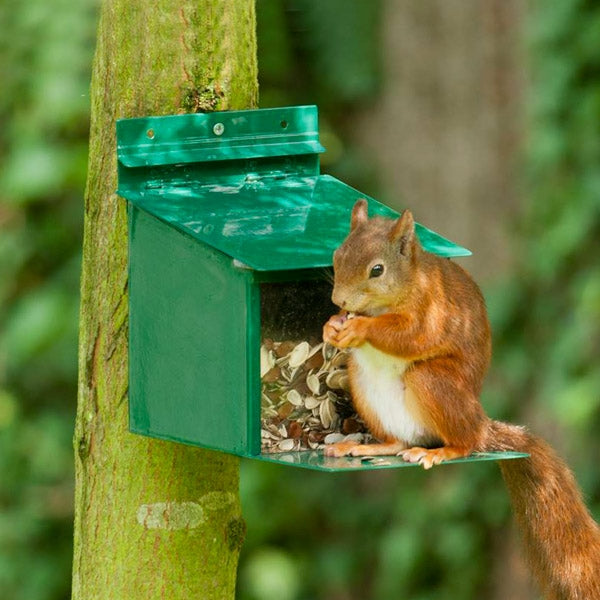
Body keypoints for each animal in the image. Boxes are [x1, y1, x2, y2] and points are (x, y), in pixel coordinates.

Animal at [324, 200, 600, 600]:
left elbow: (411, 335)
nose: (339, 301)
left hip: (434, 382)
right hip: (364, 387)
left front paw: (361, 328)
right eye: (336, 255)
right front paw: (331, 325)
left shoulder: (432, 311)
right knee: (397, 442)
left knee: (464, 442)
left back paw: (442, 452)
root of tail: (482, 426)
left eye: (377, 270)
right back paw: (363, 446)